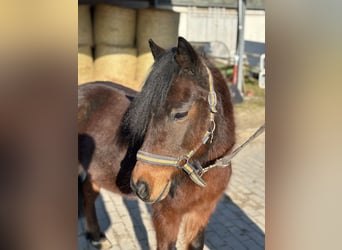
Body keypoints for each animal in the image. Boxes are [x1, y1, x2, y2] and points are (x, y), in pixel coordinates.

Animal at [79, 36, 236, 249]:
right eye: (147, 112)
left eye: (181, 113)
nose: (140, 186)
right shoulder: (166, 216)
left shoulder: (201, 213)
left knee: (88, 191)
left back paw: (97, 236)